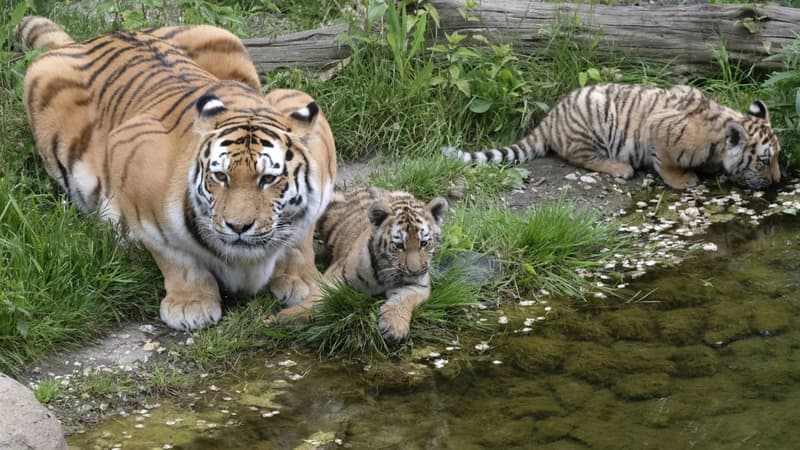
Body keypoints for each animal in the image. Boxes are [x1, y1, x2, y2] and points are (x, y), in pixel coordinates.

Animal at [18, 15, 338, 328]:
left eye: (269, 179)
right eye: (220, 177)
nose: (238, 227)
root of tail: (101, 36)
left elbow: (299, 238)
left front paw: (302, 282)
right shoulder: (132, 153)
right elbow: (174, 255)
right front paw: (190, 305)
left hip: (219, 35)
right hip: (43, 79)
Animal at [440, 83, 780, 190]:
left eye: (777, 158)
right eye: (764, 161)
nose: (779, 181)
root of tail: (549, 118)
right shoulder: (659, 128)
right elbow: (667, 163)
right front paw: (683, 180)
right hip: (593, 125)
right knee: (580, 158)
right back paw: (620, 168)